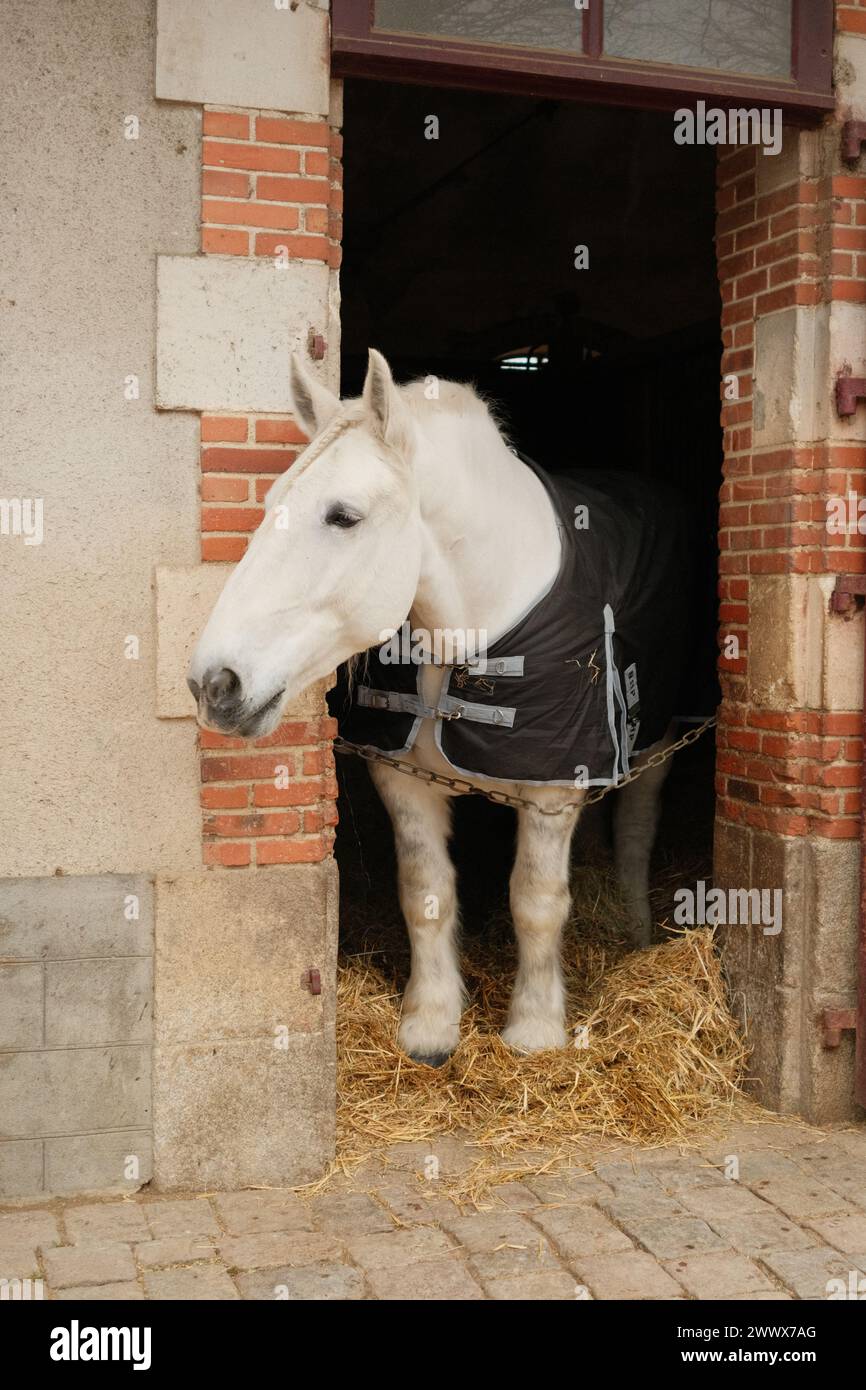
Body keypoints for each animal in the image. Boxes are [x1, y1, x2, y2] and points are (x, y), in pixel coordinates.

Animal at [189, 349, 684, 1066]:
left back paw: (634, 929)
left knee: (637, 827)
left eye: (343, 516)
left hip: (659, 739)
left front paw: (535, 1031)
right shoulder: (402, 779)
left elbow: (536, 900)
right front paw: (430, 1024)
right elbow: (425, 894)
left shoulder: (550, 790)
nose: (214, 683)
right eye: (273, 503)